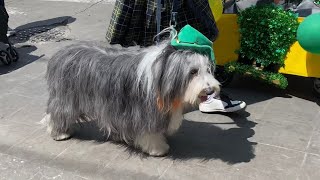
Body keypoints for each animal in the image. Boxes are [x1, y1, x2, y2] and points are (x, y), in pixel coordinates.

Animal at [44, 39, 220, 156]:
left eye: (208, 69)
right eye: (193, 71)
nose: (210, 90)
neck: (162, 75)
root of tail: (60, 53)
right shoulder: (144, 112)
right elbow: (149, 131)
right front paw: (157, 148)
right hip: (66, 98)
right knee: (57, 113)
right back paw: (60, 133)